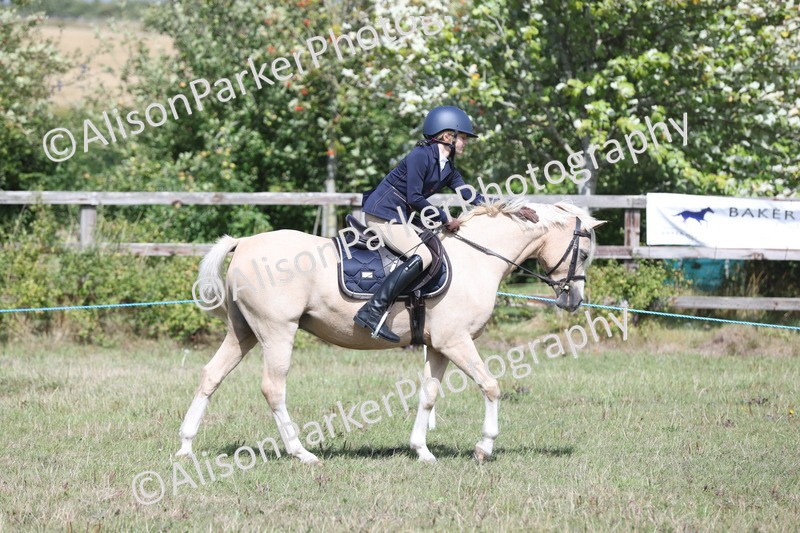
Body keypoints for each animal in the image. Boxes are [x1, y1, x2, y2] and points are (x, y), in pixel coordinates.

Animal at [176, 198, 605, 464]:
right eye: (583, 253)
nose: (574, 301)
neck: (476, 258)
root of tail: (245, 243)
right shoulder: (457, 342)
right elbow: (491, 385)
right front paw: (484, 447)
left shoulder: (439, 346)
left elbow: (428, 396)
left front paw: (422, 450)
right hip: (277, 332)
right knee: (273, 388)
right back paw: (302, 453)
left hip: (243, 332)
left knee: (211, 375)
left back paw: (185, 447)